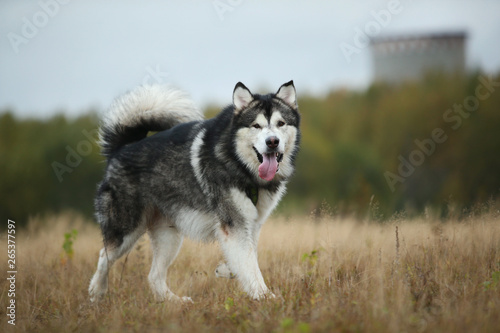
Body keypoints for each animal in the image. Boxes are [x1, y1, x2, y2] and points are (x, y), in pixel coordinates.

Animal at [88, 80, 300, 300]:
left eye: (281, 123)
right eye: (256, 126)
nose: (272, 141)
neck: (239, 163)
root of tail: (121, 148)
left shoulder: (250, 225)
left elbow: (246, 258)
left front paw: (226, 270)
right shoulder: (234, 225)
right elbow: (250, 264)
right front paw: (266, 297)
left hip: (169, 236)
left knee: (154, 275)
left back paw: (174, 301)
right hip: (126, 229)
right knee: (104, 256)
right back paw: (96, 292)